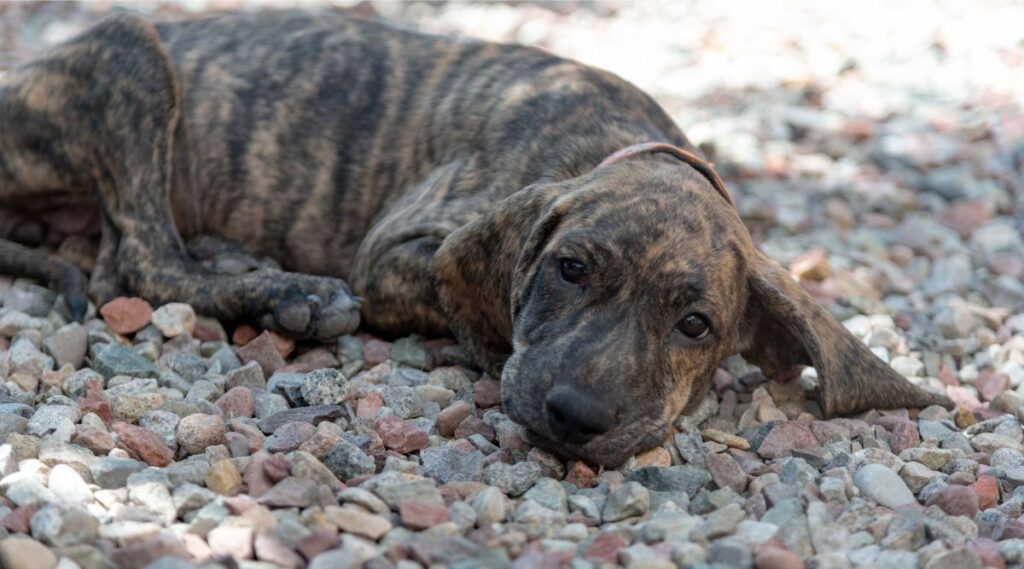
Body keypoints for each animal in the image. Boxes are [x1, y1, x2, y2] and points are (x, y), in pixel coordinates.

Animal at [0, 11, 950, 464]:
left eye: (696, 325)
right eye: (569, 269)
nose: (575, 417)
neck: (608, 136)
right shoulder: (391, 251)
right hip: (130, 52)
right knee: (143, 260)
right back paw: (285, 294)